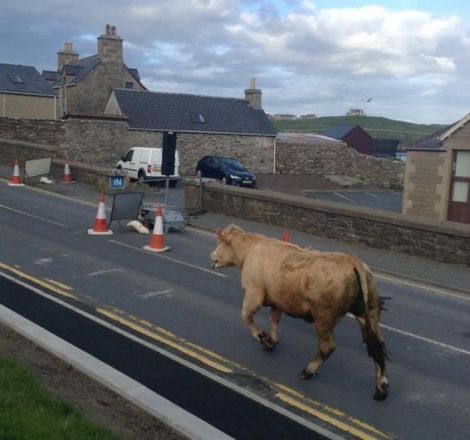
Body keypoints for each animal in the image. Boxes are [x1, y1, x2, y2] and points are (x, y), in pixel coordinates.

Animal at [212, 225, 390, 400]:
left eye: (219, 243)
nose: (211, 256)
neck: (250, 250)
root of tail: (352, 260)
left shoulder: (254, 294)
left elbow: (246, 317)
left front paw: (263, 338)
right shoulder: (277, 301)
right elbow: (274, 320)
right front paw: (271, 341)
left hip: (324, 316)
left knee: (327, 346)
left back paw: (308, 371)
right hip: (370, 311)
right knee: (378, 345)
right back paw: (381, 388)